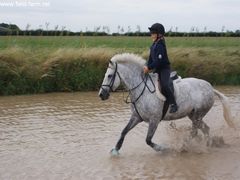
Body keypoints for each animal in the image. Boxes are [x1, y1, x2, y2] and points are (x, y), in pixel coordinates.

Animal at [98, 52, 235, 155]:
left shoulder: (154, 119)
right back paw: (208, 145)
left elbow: (148, 140)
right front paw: (115, 150)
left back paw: (184, 146)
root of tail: (210, 87)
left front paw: (163, 149)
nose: (101, 95)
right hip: (193, 115)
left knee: (195, 131)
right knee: (205, 129)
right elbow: (124, 131)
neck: (141, 88)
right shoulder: (137, 117)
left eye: (109, 76)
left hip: (198, 115)